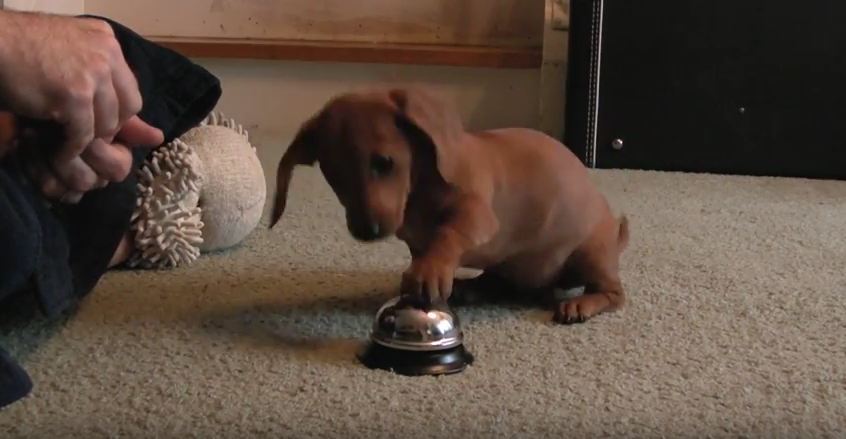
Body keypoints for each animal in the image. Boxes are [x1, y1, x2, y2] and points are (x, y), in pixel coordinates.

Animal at [272, 88, 628, 324]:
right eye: (334, 174)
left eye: (384, 163)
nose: (367, 231)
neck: (418, 192)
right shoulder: (415, 241)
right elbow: (425, 251)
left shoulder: (477, 214)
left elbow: (447, 235)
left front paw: (429, 272)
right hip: (509, 264)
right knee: (501, 284)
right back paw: (472, 287)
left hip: (590, 252)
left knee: (614, 294)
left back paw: (582, 304)